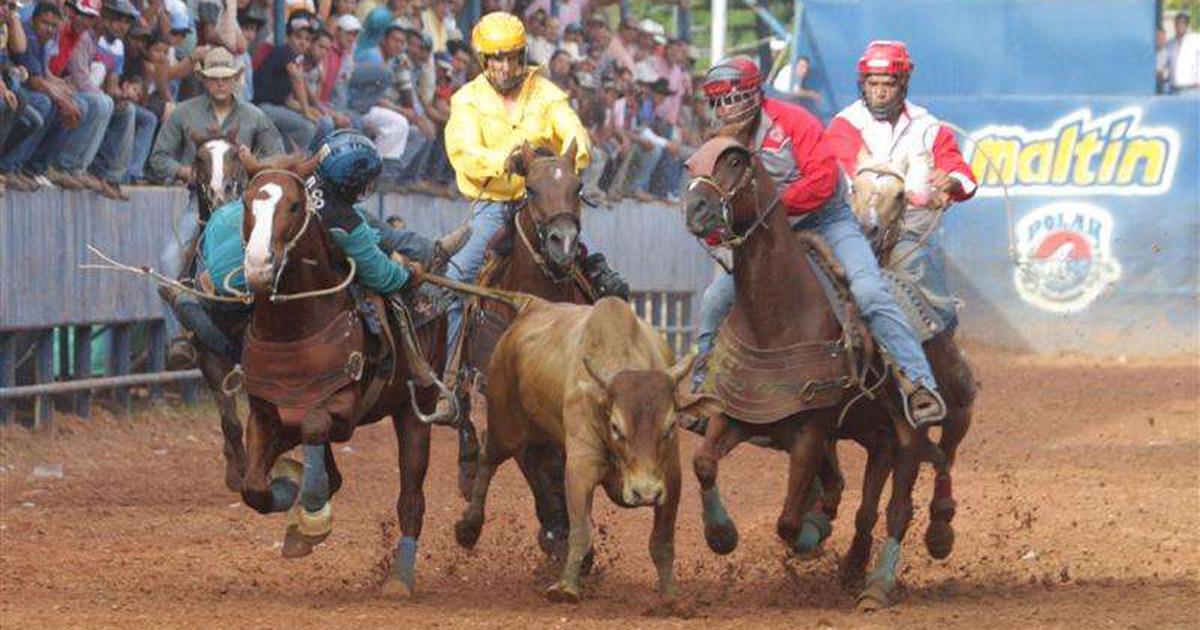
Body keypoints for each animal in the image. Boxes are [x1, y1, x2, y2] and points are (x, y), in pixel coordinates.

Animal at [231, 152, 444, 595]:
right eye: (245, 201)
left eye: (294, 206)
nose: (259, 266)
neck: (293, 327)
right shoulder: (264, 411)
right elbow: (254, 488)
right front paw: (291, 499)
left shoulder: (343, 407)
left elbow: (316, 428)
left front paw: (310, 511)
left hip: (416, 410)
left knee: (411, 497)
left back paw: (400, 576)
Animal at [446, 142, 600, 564]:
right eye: (530, 188)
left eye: (578, 187)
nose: (564, 244)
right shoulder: (504, 402)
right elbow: (531, 463)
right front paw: (555, 530)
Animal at [448, 297, 710, 602]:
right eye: (616, 427)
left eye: (669, 426)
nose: (644, 493)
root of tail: (530, 309)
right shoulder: (580, 466)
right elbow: (582, 529)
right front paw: (566, 588)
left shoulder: (669, 474)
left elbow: (663, 539)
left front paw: (670, 595)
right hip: (505, 425)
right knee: (488, 458)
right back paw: (469, 527)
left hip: (538, 436)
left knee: (533, 463)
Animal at [681, 129, 931, 609]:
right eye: (691, 163)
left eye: (735, 162)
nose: (695, 208)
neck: (777, 316)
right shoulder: (742, 414)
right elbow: (703, 462)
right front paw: (721, 534)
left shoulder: (811, 431)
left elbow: (788, 523)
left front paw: (811, 537)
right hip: (873, 431)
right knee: (863, 499)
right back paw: (852, 565)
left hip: (906, 431)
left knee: (898, 508)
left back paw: (878, 584)